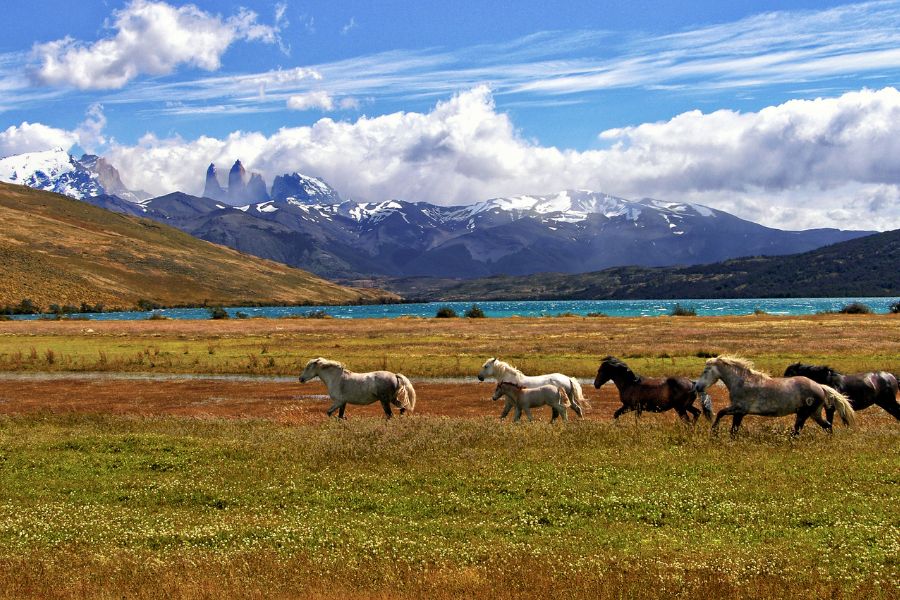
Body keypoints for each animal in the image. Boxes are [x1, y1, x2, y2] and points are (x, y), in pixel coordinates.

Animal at [692, 356, 856, 436]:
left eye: (706, 371)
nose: (697, 386)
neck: (742, 382)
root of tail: (820, 387)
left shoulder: (739, 409)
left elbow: (721, 414)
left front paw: (714, 432)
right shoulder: (739, 412)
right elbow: (733, 428)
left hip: (804, 414)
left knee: (797, 431)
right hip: (814, 413)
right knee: (827, 426)